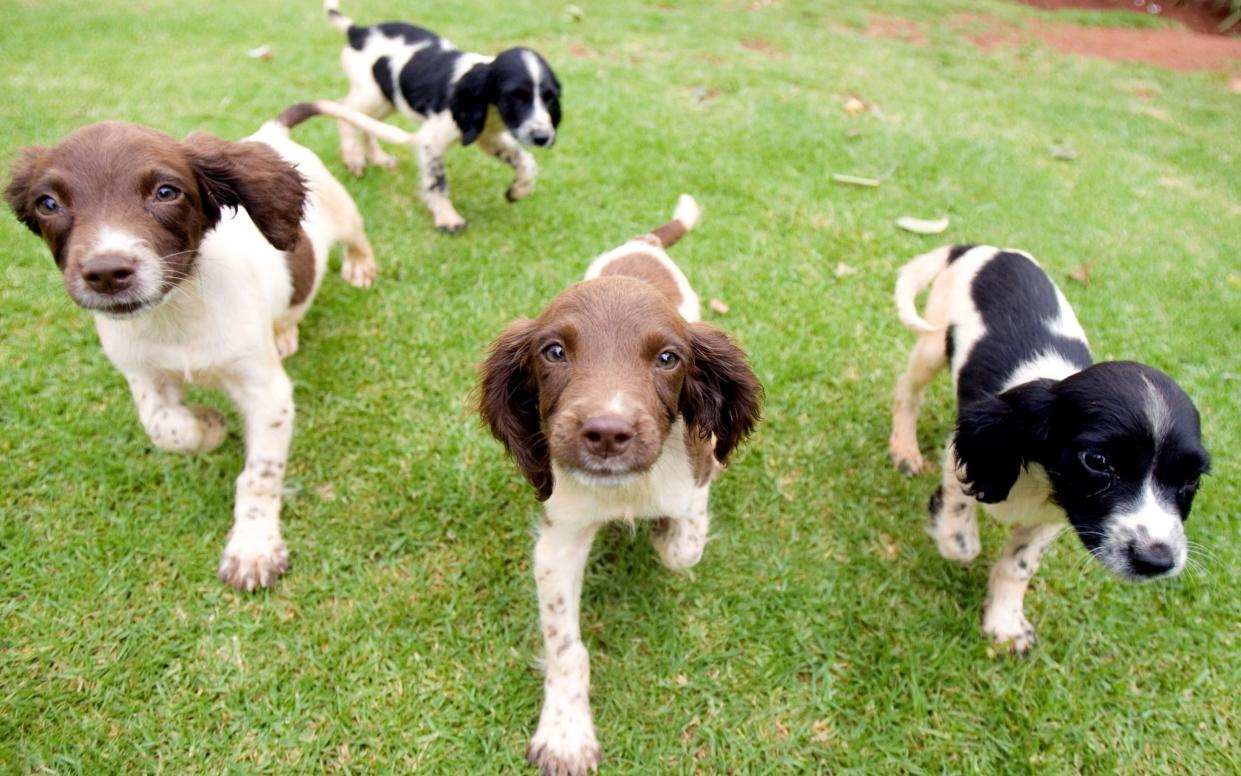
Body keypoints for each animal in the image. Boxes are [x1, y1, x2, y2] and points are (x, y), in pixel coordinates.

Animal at [4, 106, 379, 591]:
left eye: (167, 192)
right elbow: (163, 426)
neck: (176, 315)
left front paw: (253, 547)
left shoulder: (268, 393)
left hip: (344, 212)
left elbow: (260, 475)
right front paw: (207, 426)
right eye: (48, 203)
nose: (106, 272)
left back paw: (360, 266)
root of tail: (269, 133)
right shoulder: (140, 371)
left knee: (357, 236)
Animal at [327, 0, 565, 230]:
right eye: (516, 95)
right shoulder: (431, 140)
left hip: (386, 100)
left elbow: (526, 160)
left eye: (550, 98)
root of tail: (359, 31)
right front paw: (447, 219)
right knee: (343, 110)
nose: (543, 138)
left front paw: (519, 190)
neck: (491, 110)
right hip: (369, 93)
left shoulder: (488, 137)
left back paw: (379, 159)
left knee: (364, 123)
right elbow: (438, 182)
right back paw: (353, 158)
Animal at [479, 196, 759, 774]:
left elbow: (685, 544)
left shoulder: (697, 478)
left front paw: (660, 532)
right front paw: (566, 734)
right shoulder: (558, 538)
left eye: (668, 358)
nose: (607, 433)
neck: (624, 491)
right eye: (554, 351)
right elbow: (566, 646)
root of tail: (643, 245)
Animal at [893, 244, 1211, 650]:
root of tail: (983, 248)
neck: (1038, 477)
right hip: (933, 343)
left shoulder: (1057, 515)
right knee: (907, 391)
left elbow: (1018, 565)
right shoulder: (964, 453)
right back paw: (904, 449)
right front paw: (947, 526)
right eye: (1097, 461)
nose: (1157, 561)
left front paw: (1005, 621)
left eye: (1190, 479)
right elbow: (962, 541)